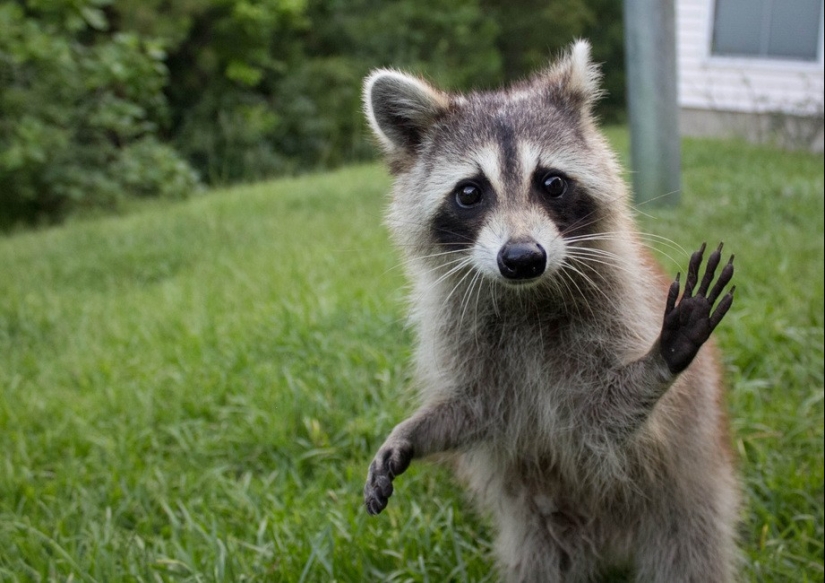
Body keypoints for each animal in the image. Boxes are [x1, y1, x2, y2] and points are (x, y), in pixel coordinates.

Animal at [360, 42, 740, 583]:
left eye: (552, 183)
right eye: (470, 192)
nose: (522, 258)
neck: (524, 297)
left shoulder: (616, 313)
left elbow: (604, 416)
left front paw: (659, 360)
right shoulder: (463, 332)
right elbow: (475, 409)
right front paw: (413, 431)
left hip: (687, 503)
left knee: (690, 557)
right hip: (541, 532)